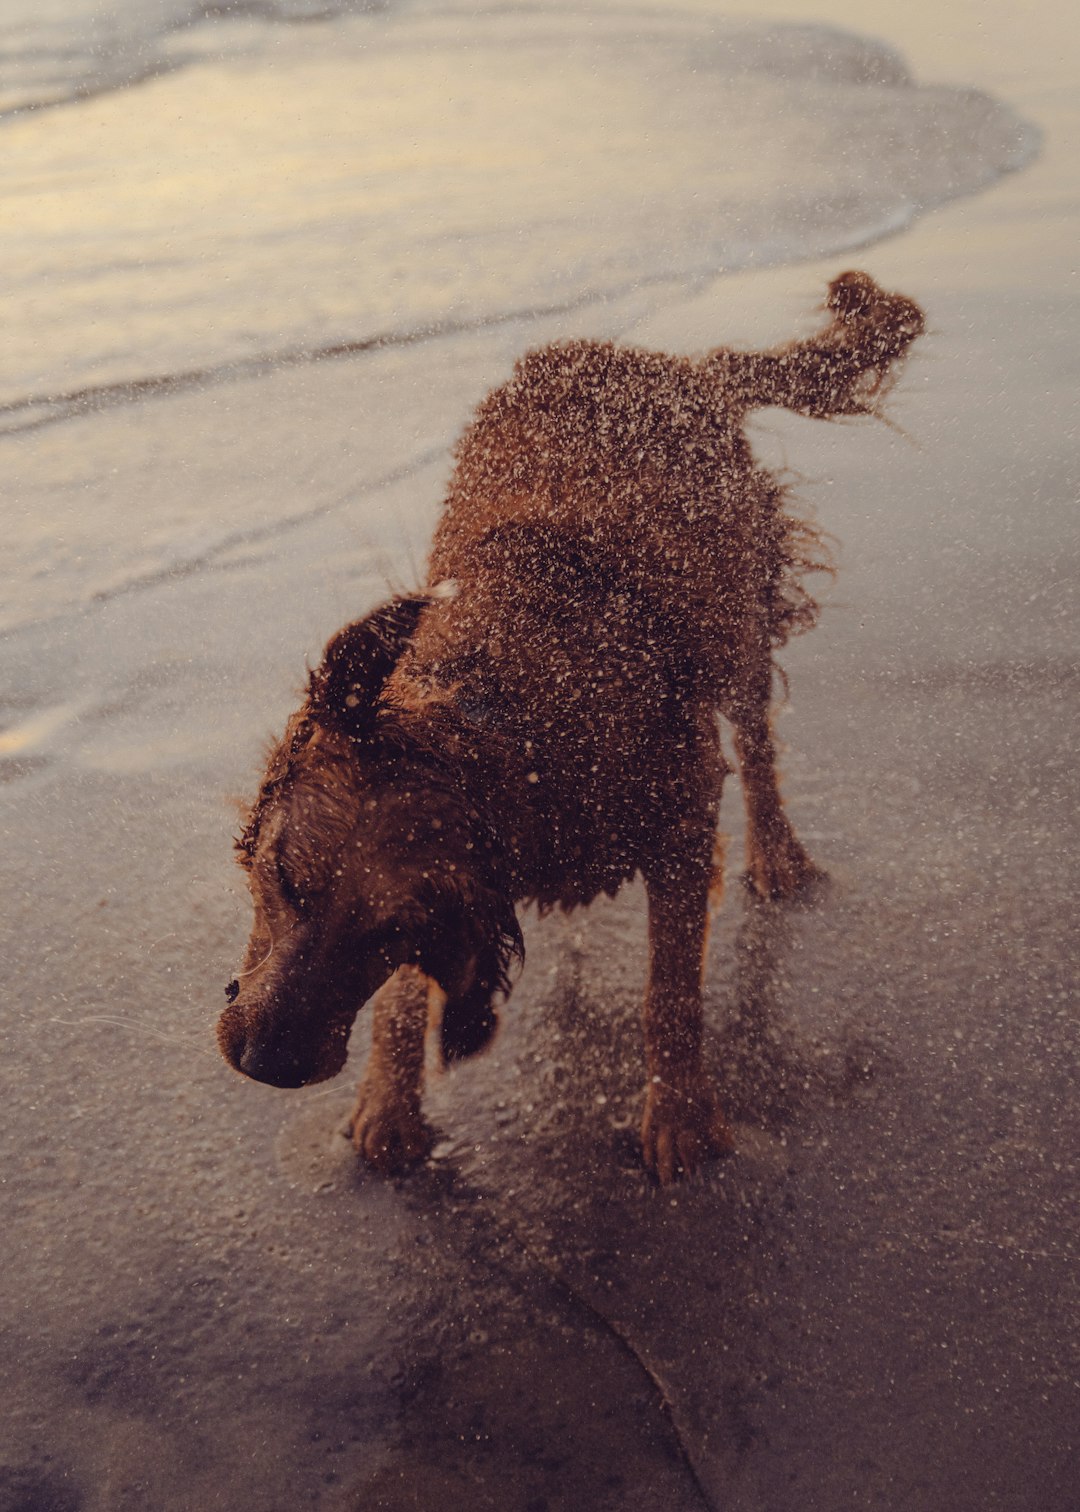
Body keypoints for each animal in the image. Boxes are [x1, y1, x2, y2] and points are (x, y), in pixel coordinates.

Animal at [216, 275, 919, 1191]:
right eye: (283, 879)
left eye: (394, 929)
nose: (268, 1062)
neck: (495, 712)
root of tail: (679, 366)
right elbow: (404, 1006)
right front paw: (388, 1104)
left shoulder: (682, 807)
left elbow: (670, 993)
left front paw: (679, 1116)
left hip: (738, 619)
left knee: (759, 740)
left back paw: (776, 851)